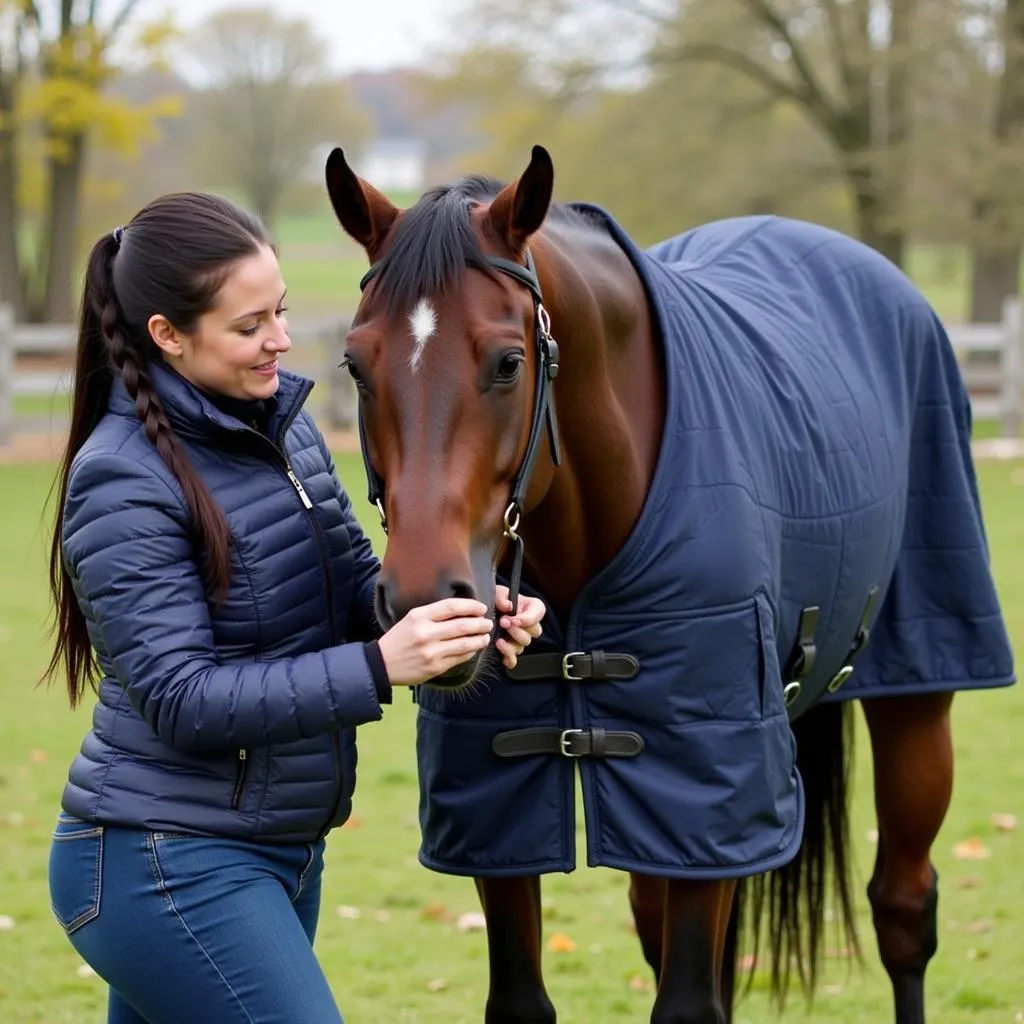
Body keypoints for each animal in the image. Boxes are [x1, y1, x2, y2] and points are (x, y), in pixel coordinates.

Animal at [323, 146, 1011, 1024]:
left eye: (508, 363)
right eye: (355, 365)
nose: (424, 602)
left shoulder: (709, 783)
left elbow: (689, 1000)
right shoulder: (502, 804)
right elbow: (528, 997)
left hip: (913, 696)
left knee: (902, 908)